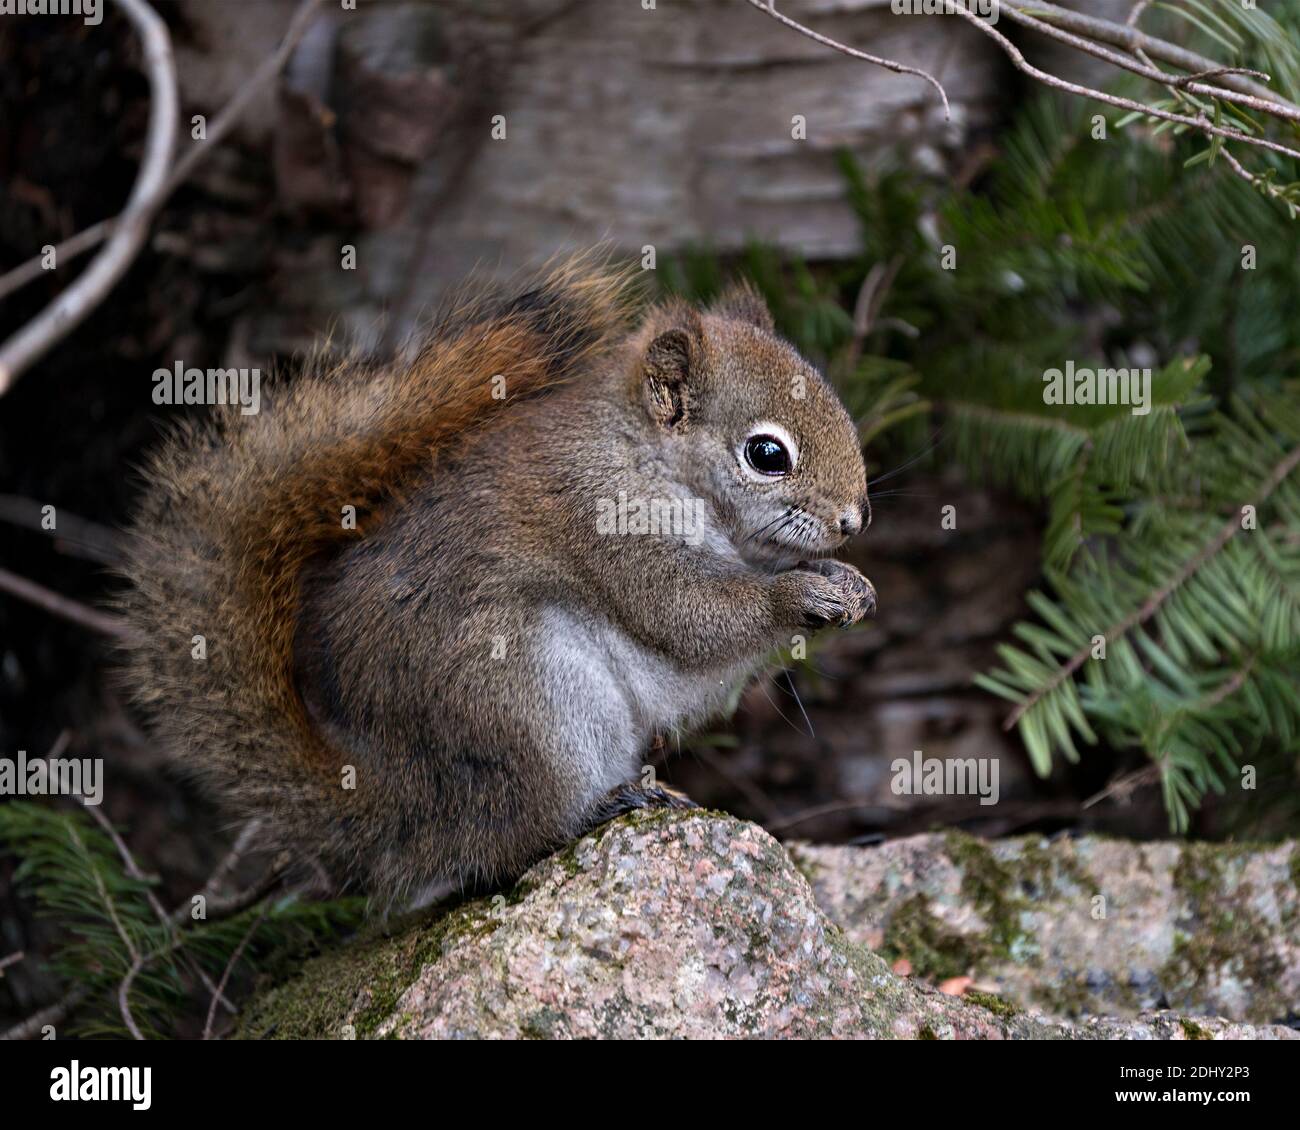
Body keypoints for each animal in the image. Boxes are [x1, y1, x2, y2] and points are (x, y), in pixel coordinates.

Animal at [119, 253, 873, 899]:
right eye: (766, 454)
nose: (854, 518)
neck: (648, 457)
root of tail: (408, 808)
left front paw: (849, 582)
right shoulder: (605, 521)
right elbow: (686, 615)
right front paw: (800, 594)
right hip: (529, 699)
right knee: (513, 841)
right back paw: (604, 804)